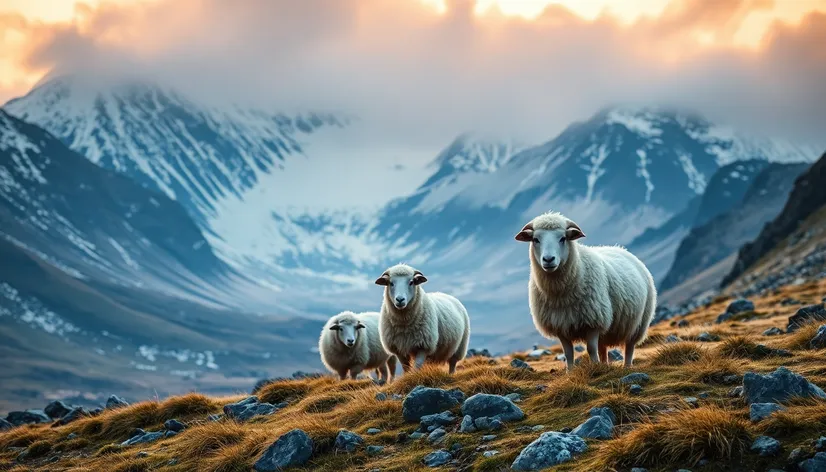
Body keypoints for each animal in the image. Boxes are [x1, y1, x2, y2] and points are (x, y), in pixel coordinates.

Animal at [516, 210, 656, 368]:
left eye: (563, 238)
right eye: (535, 239)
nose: (548, 259)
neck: (560, 294)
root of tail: (620, 248)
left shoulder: (594, 321)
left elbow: (591, 349)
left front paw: (594, 367)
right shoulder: (560, 324)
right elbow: (568, 353)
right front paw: (570, 371)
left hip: (638, 325)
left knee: (629, 347)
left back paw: (626, 366)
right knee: (603, 348)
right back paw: (605, 365)